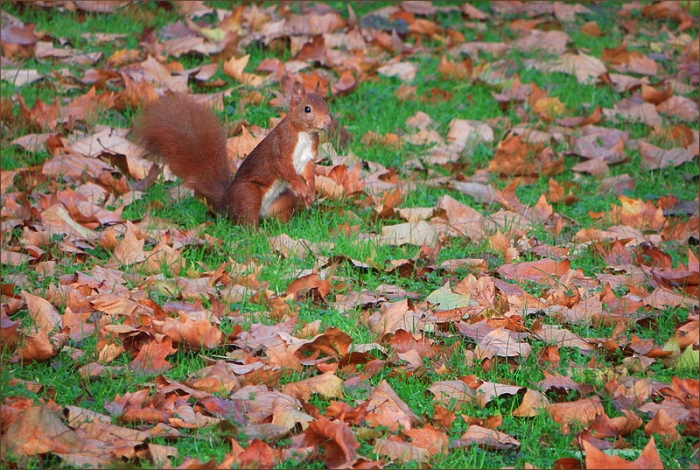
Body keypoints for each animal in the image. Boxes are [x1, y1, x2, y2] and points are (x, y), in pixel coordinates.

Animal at [133, 82, 331, 227]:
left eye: (326, 104)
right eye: (307, 109)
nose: (327, 121)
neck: (304, 134)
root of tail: (227, 204)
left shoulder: (309, 156)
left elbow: (309, 172)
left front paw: (310, 192)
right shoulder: (282, 147)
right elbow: (285, 169)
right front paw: (301, 188)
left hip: (282, 200)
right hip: (249, 194)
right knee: (247, 222)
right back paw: (259, 234)